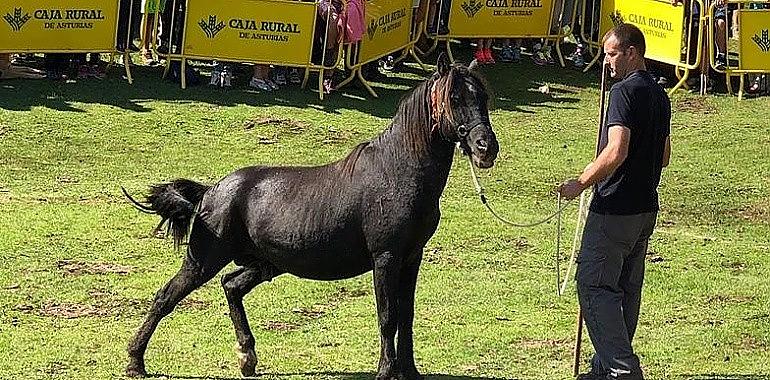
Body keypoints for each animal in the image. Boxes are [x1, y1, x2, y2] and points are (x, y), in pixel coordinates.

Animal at [124, 55, 498, 378]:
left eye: (482, 96)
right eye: (454, 97)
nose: (486, 147)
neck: (397, 171)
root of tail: (211, 192)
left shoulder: (411, 257)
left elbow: (406, 316)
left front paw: (409, 370)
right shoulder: (386, 258)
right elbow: (388, 316)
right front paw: (386, 370)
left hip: (265, 264)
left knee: (230, 286)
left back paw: (247, 358)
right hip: (203, 260)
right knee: (166, 297)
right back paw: (135, 361)